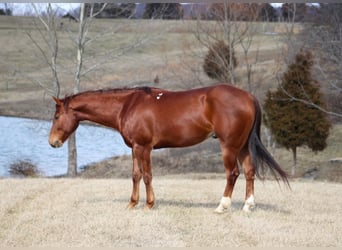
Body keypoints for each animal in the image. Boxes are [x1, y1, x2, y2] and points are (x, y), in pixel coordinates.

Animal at [48, 84, 288, 213]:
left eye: (57, 116)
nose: (52, 142)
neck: (128, 105)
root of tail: (248, 96)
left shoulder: (144, 147)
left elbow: (147, 176)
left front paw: (149, 204)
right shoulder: (134, 148)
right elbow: (135, 175)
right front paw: (132, 204)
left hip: (229, 146)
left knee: (233, 173)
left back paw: (222, 206)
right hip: (243, 145)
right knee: (249, 172)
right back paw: (248, 206)